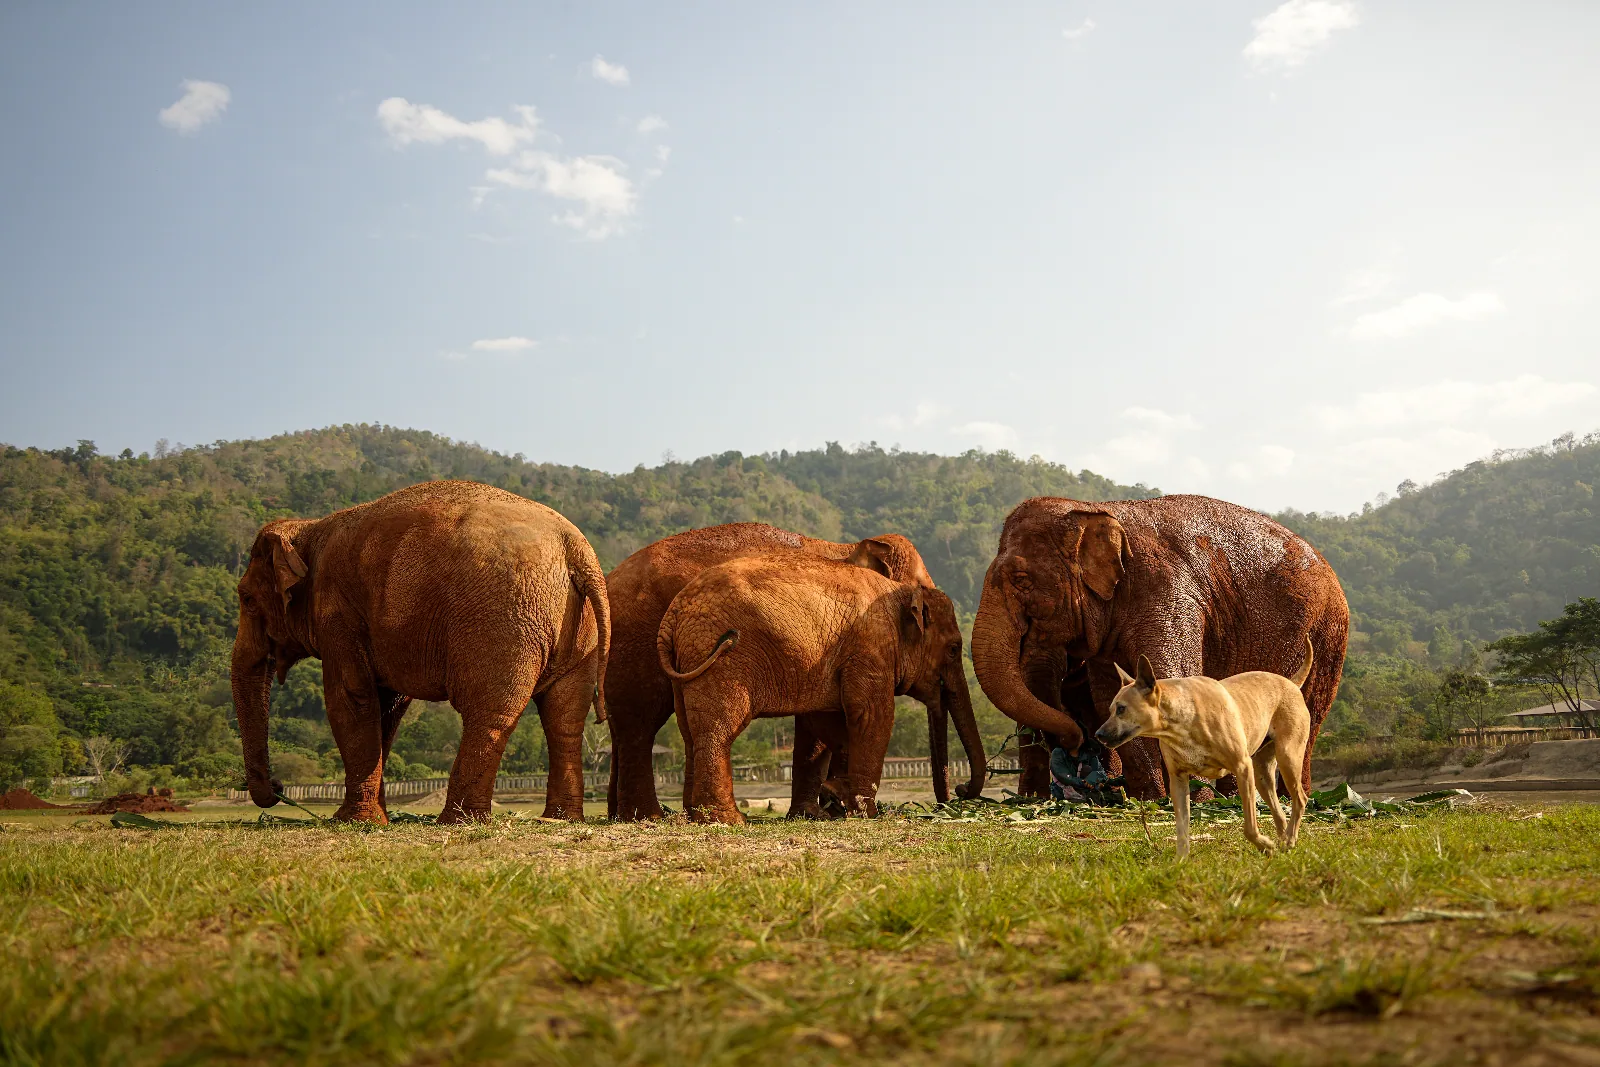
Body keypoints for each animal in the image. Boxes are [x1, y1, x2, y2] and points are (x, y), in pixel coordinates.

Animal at [230, 480, 610, 824]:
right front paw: (376, 818)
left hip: (503, 619)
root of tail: (575, 547)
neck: (309, 528)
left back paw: (459, 820)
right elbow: (388, 706)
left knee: (489, 712)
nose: (277, 787)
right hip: (576, 626)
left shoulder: (338, 612)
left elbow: (351, 700)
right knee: (564, 717)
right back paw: (560, 819)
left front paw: (351, 821)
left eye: (246, 599)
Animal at [603, 523, 986, 820]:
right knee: (645, 724)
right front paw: (843, 806)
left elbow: (823, 719)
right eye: (954, 649)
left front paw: (823, 807)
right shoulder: (855, 643)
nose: (959, 791)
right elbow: (853, 716)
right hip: (641, 644)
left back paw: (639, 815)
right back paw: (657, 817)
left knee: (654, 728)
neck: (844, 548)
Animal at [970, 495, 1348, 801]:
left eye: (1021, 580)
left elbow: (1174, 679)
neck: (1096, 509)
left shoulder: (1169, 597)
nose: (1080, 744)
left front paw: (1191, 800)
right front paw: (1150, 799)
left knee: (1306, 716)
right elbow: (1111, 695)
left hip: (1326, 634)